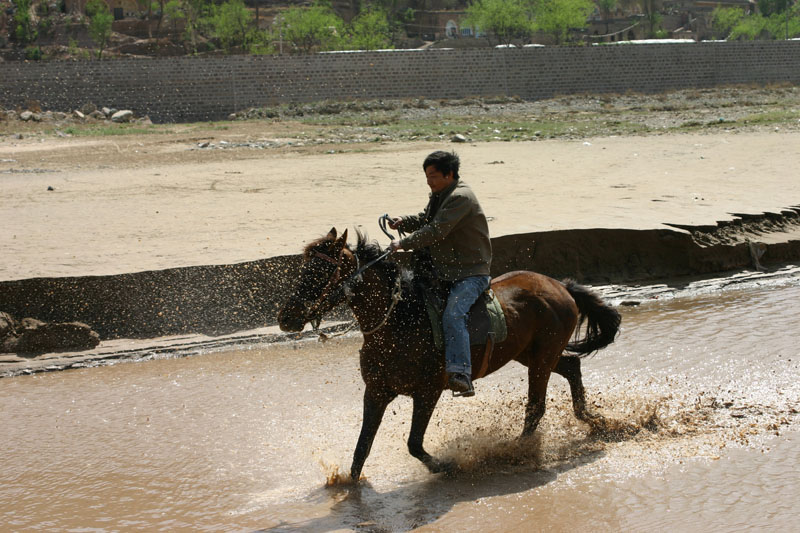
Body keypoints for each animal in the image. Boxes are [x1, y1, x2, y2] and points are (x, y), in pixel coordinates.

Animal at [278, 227, 620, 480]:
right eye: (304, 267)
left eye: (321, 270)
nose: (286, 316)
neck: (399, 320)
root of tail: (561, 286)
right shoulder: (376, 391)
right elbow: (362, 448)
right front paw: (349, 487)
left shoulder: (427, 392)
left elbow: (414, 444)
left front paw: (445, 465)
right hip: (531, 354)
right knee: (572, 367)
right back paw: (593, 419)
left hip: (541, 358)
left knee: (536, 406)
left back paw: (515, 451)